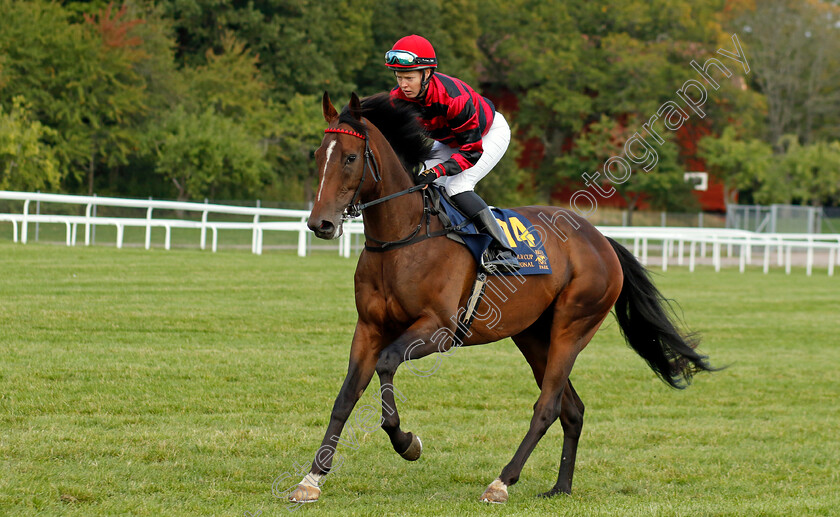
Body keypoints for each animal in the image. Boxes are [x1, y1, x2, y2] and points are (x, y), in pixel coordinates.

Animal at [290, 90, 716, 502]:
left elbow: (387, 364)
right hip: (533, 335)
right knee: (572, 409)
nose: (320, 223)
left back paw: (501, 482)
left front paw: (407, 443)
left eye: (349, 157)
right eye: (318, 156)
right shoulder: (369, 327)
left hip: (572, 328)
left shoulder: (438, 330)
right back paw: (560, 488)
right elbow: (346, 396)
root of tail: (601, 240)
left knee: (548, 406)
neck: (403, 237)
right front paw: (312, 478)